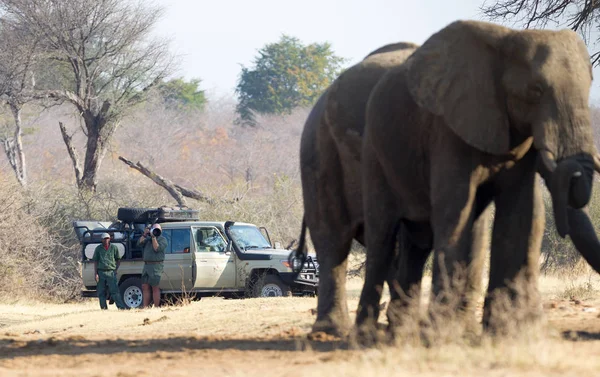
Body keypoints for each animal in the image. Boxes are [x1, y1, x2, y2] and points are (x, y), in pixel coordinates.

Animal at [354, 19, 600, 332]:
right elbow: (454, 210)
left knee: (416, 243)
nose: (563, 230)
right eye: (536, 90)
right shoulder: (448, 131)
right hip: (375, 152)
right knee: (382, 235)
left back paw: (402, 328)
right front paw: (441, 332)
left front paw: (505, 331)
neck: (505, 43)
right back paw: (366, 333)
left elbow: (518, 212)